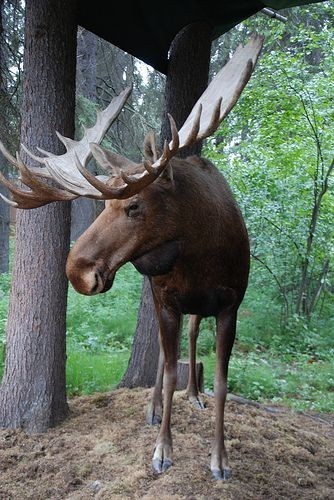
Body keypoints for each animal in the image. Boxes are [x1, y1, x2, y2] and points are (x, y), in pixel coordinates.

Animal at [0, 35, 264, 480]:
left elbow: (223, 382)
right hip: (158, 295)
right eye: (104, 204)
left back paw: (193, 394)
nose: (77, 271)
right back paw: (155, 407)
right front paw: (161, 449)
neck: (204, 256)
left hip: (194, 306)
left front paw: (220, 458)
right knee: (164, 354)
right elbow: (169, 368)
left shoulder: (231, 303)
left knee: (192, 338)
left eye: (134, 205)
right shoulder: (167, 298)